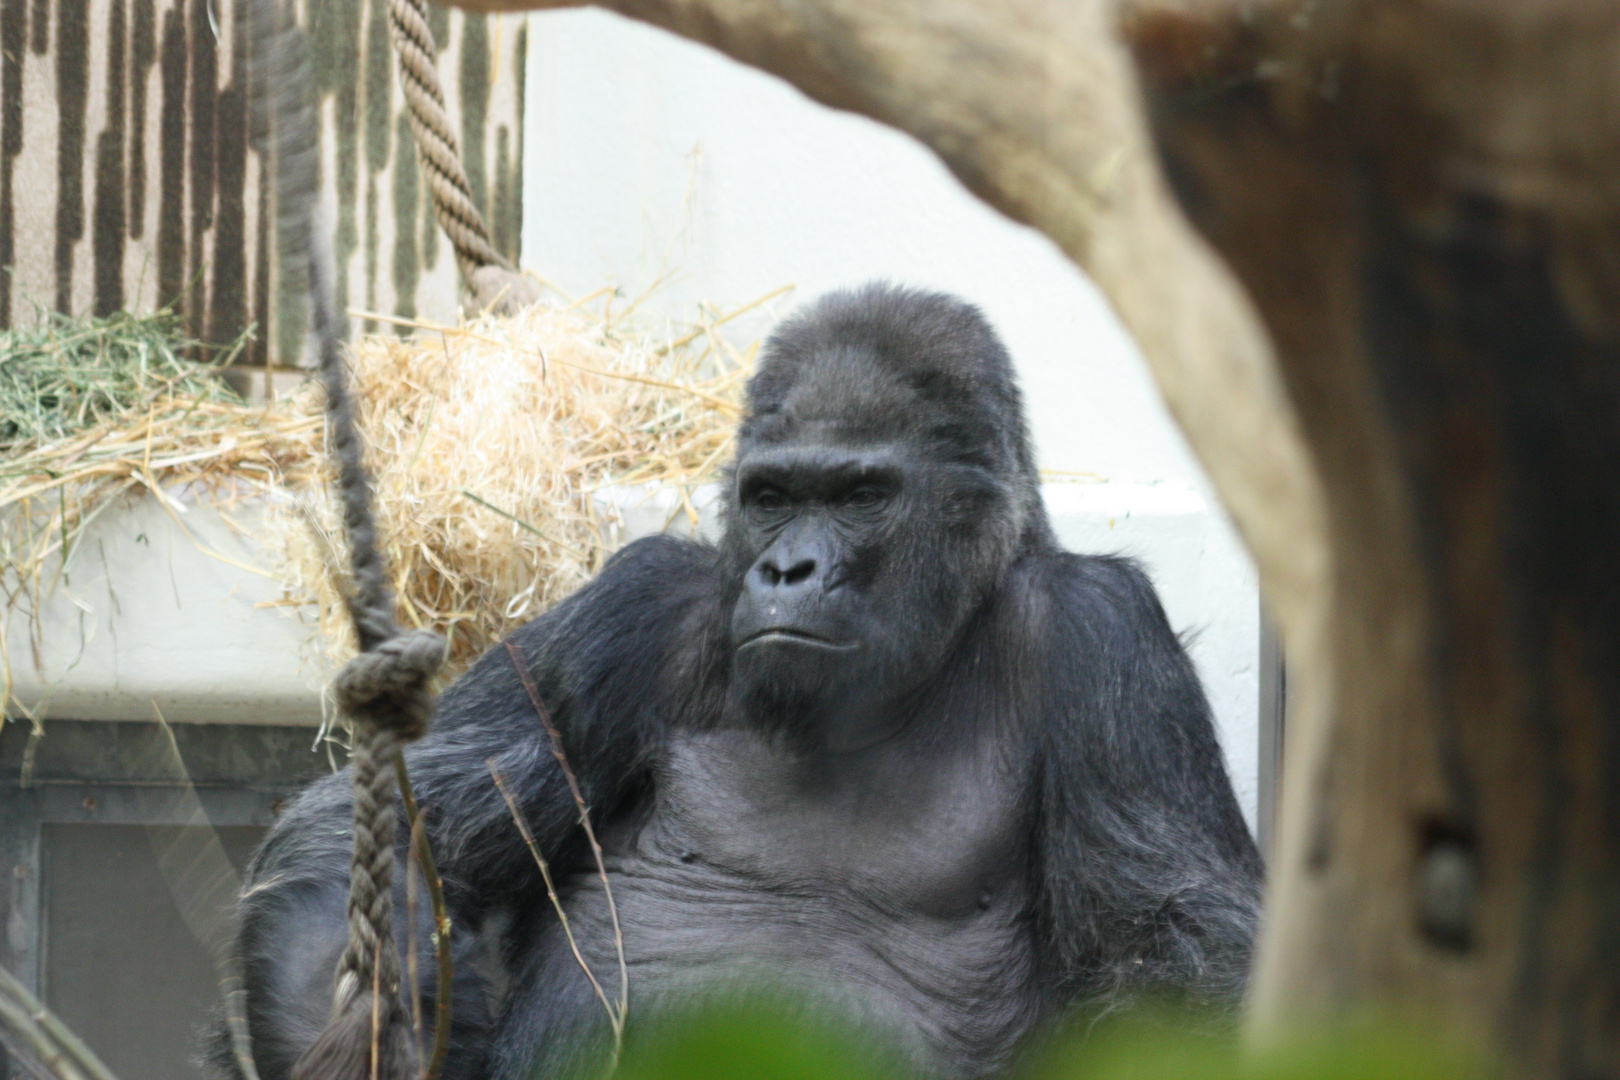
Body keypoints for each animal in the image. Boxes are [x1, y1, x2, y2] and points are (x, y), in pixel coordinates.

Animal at [225, 284, 1263, 1080]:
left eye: (860, 495)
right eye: (772, 497)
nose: (788, 570)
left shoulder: (1104, 634)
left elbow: (1172, 956)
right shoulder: (640, 605)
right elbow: (403, 823)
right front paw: (373, 1015)